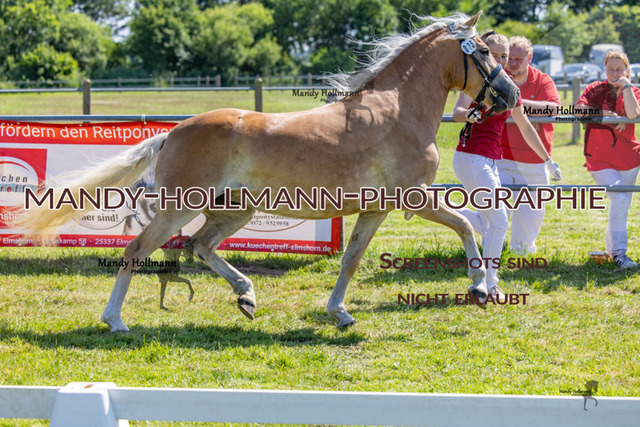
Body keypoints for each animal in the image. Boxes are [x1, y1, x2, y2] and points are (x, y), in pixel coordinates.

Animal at [17, 11, 520, 332]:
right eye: (486, 53)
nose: (512, 94)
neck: (397, 112)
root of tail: (173, 133)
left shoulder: (374, 210)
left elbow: (351, 259)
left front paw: (339, 313)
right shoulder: (411, 198)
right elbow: (464, 225)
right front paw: (479, 287)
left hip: (232, 210)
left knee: (201, 246)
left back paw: (246, 296)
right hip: (179, 208)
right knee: (137, 250)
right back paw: (115, 320)